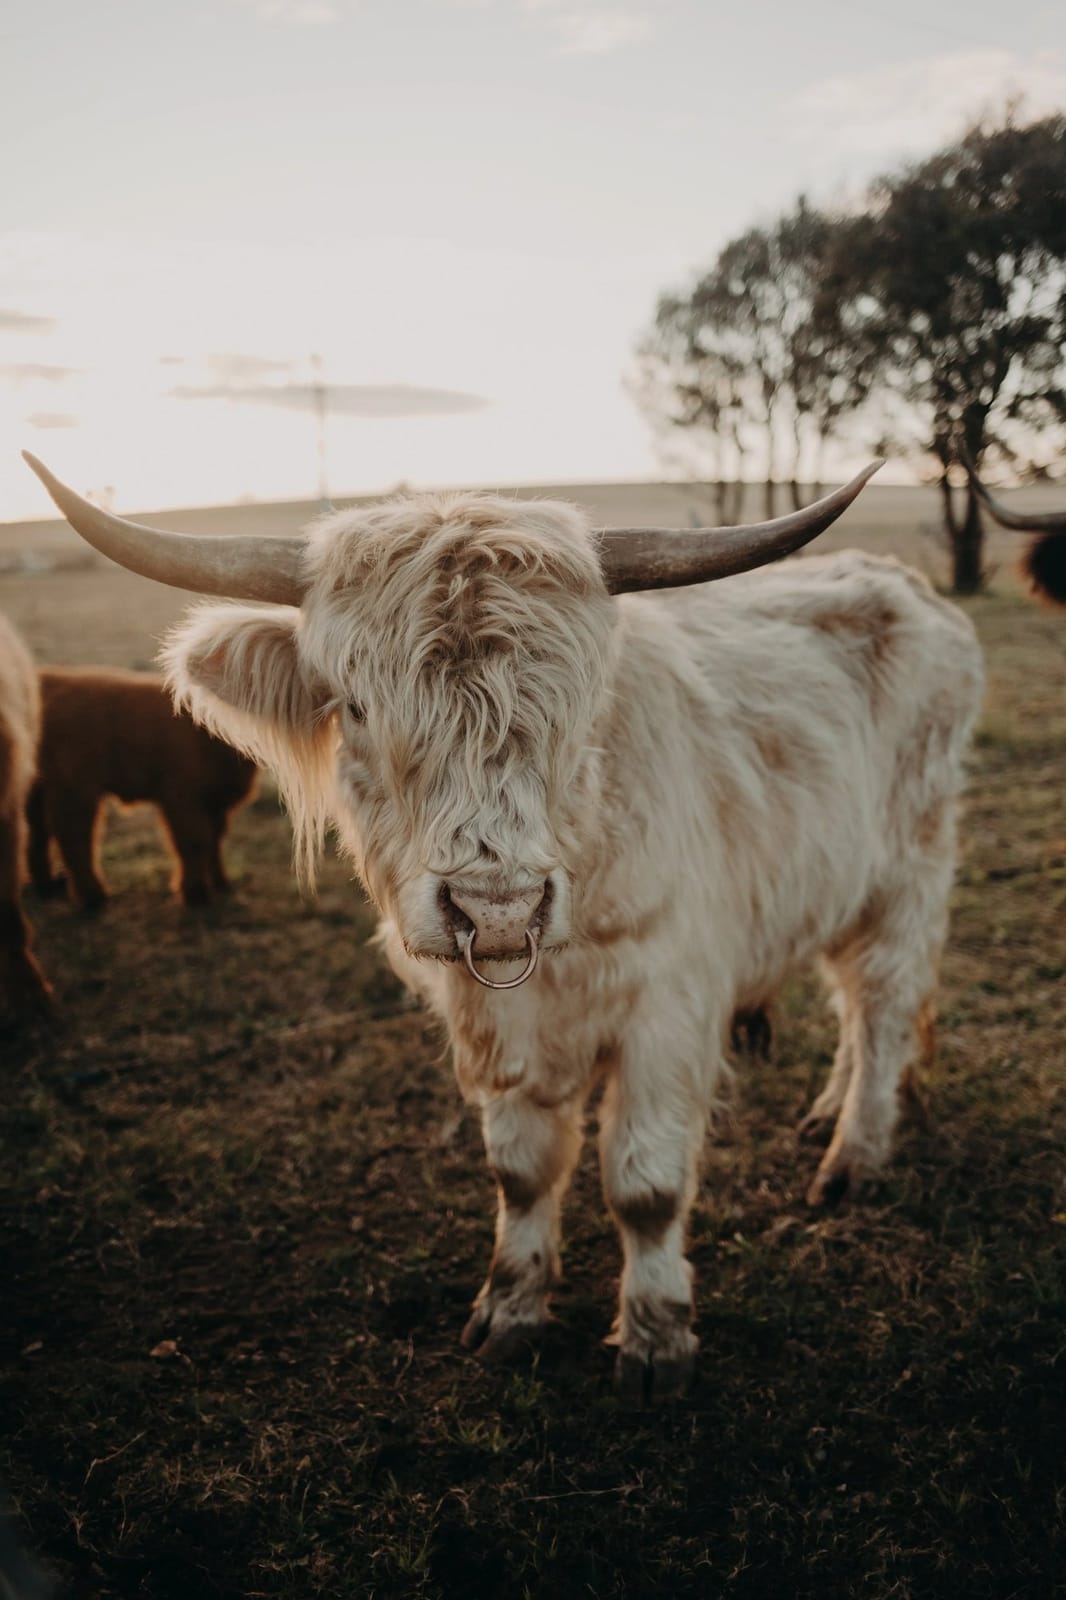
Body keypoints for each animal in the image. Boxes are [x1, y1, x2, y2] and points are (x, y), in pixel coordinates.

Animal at [27, 667, 258, 910]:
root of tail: (52, 676)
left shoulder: (215, 801)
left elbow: (215, 839)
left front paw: (220, 882)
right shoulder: (183, 797)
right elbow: (195, 842)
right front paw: (196, 894)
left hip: (39, 787)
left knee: (38, 832)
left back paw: (46, 886)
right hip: (74, 787)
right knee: (74, 837)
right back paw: (93, 897)